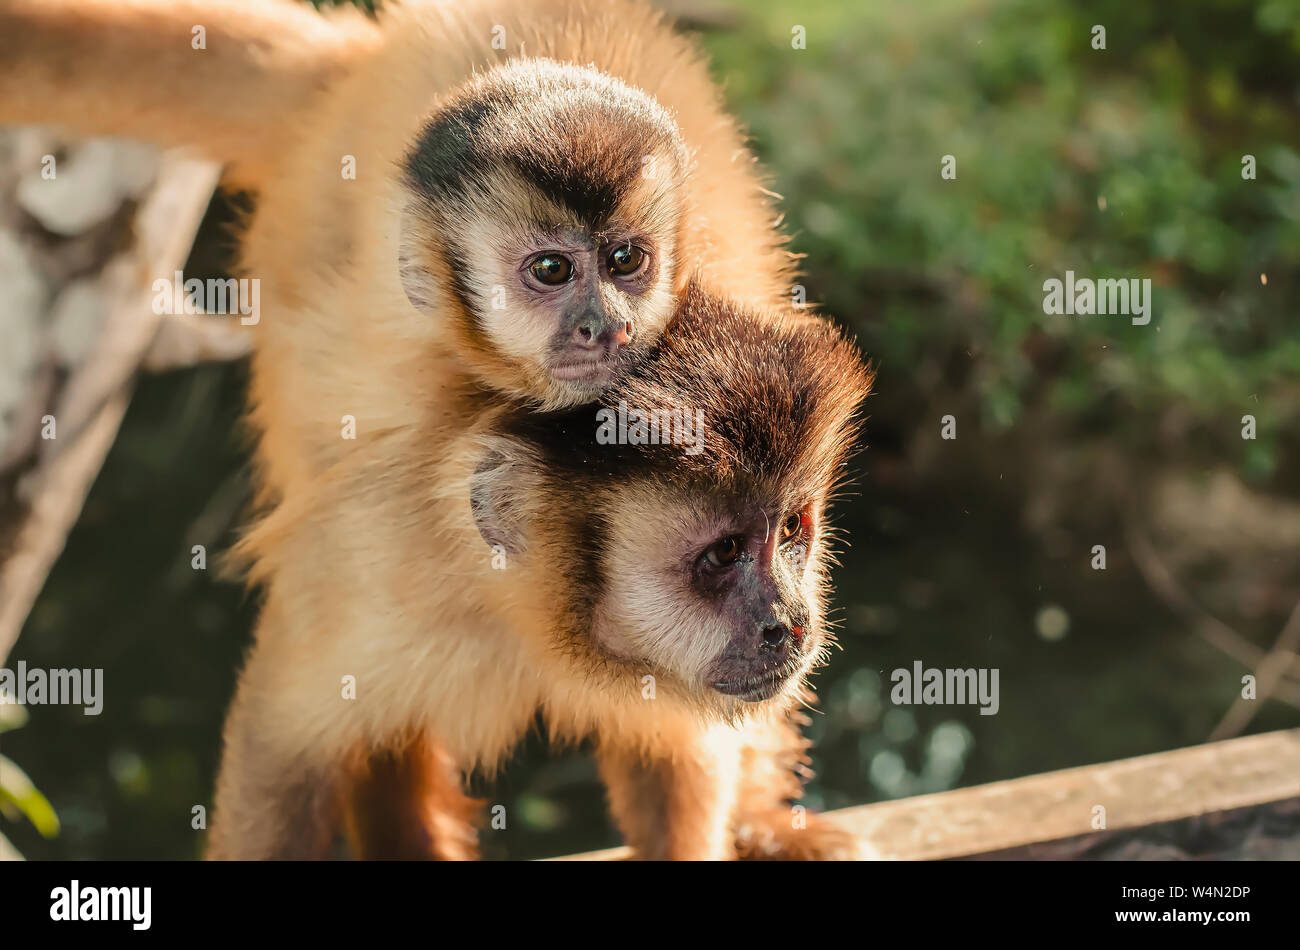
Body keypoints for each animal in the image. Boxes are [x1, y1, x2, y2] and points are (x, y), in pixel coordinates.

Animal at [215, 284, 873, 862]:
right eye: (723, 553)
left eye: (791, 530)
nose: (789, 624)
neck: (530, 611)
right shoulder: (378, 561)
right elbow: (284, 742)